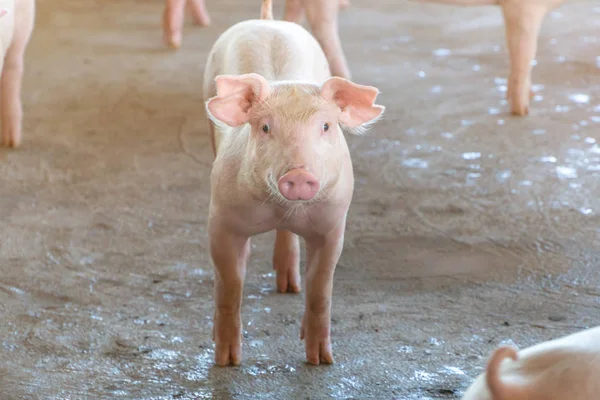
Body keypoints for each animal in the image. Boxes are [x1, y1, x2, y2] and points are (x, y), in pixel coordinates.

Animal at [199, 0, 382, 366]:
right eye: (266, 128)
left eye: (325, 126)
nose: (298, 174)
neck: (281, 208)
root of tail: (268, 21)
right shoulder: (220, 218)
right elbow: (230, 283)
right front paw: (227, 361)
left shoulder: (333, 224)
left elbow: (321, 287)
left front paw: (321, 360)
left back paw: (289, 286)